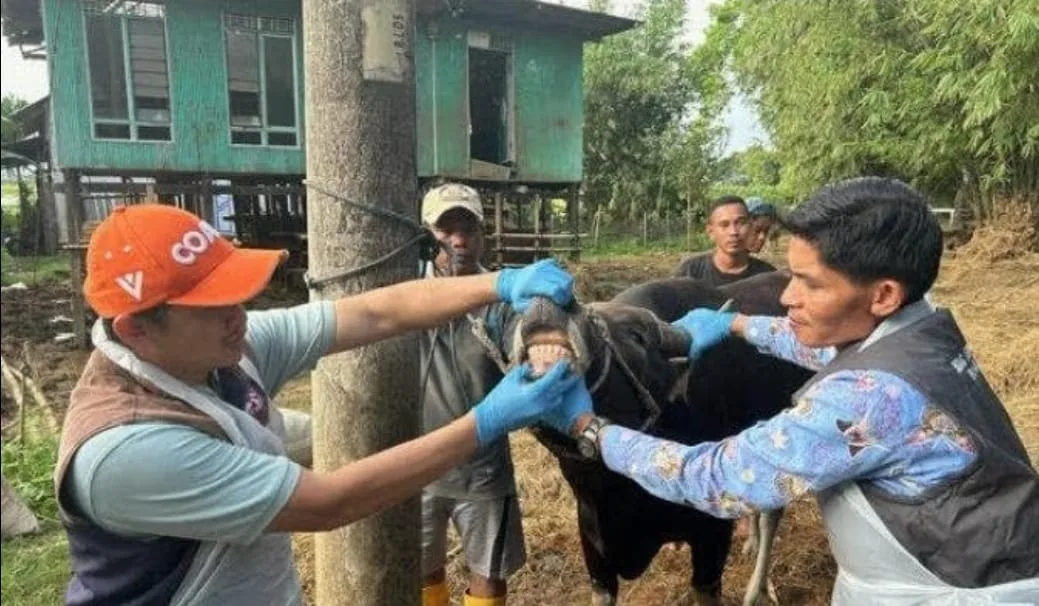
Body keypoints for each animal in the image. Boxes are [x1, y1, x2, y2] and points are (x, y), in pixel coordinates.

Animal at [515, 272, 814, 602]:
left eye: (636, 336)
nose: (549, 301)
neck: (613, 492)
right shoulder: (594, 546)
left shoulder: (712, 537)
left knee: (772, 513)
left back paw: (757, 589)